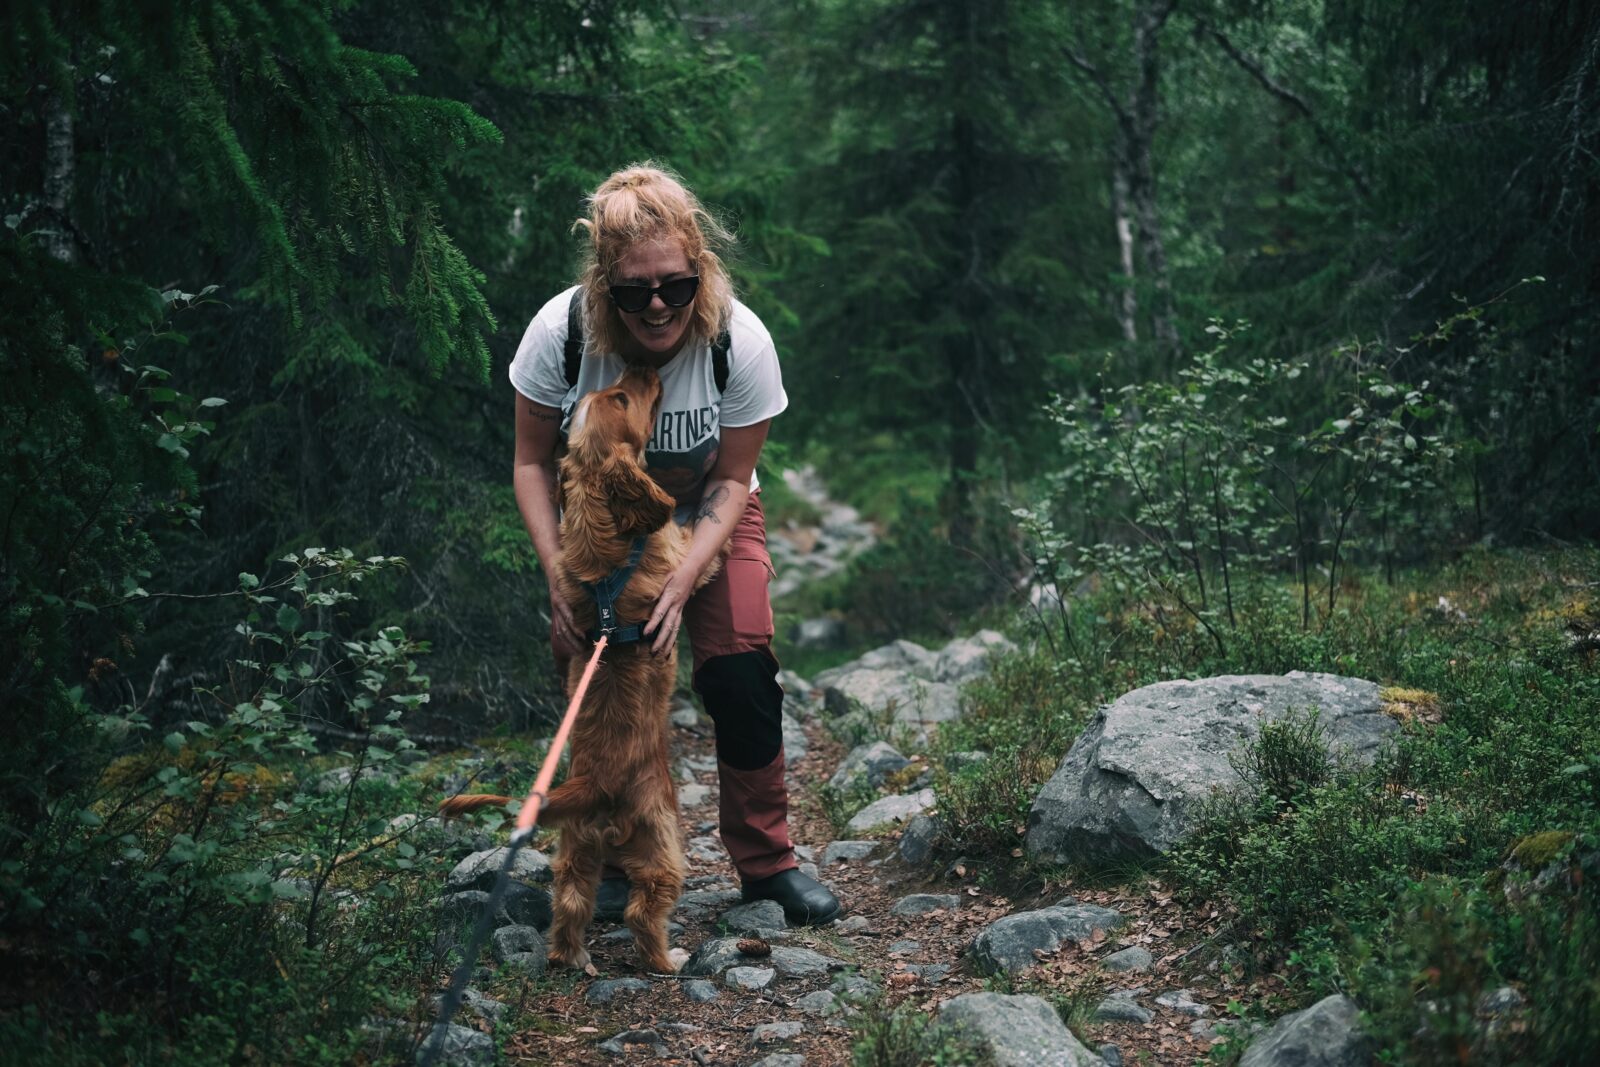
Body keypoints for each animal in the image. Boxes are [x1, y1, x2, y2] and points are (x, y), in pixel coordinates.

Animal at [438, 367, 713, 979]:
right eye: (624, 397)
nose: (642, 369)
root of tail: (594, 783)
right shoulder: (675, 550)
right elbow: (699, 545)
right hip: (661, 839)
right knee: (642, 908)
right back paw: (668, 960)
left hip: (577, 846)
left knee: (569, 902)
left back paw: (571, 957)